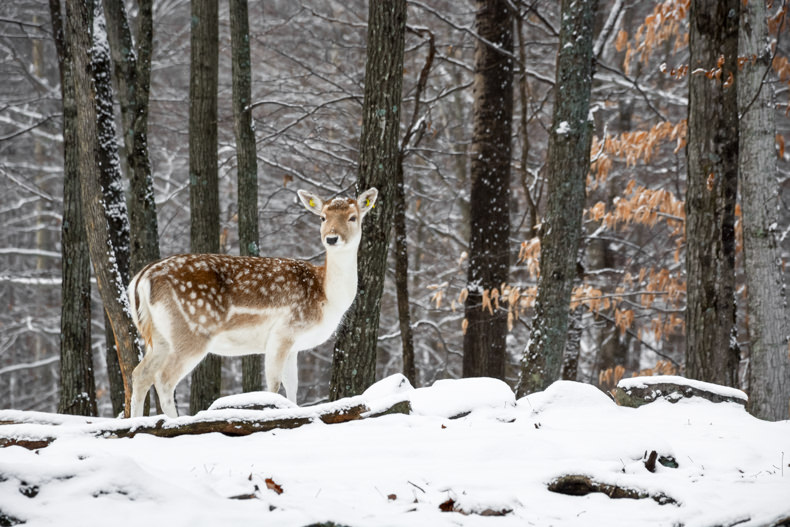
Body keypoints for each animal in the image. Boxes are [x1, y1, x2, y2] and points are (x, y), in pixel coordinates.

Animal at [127, 188, 380, 418]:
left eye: (353, 217)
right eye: (323, 217)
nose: (332, 238)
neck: (327, 297)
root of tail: (142, 278)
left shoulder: (294, 344)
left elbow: (293, 387)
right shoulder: (284, 331)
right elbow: (274, 384)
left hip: (160, 336)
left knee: (140, 374)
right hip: (191, 331)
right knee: (164, 379)